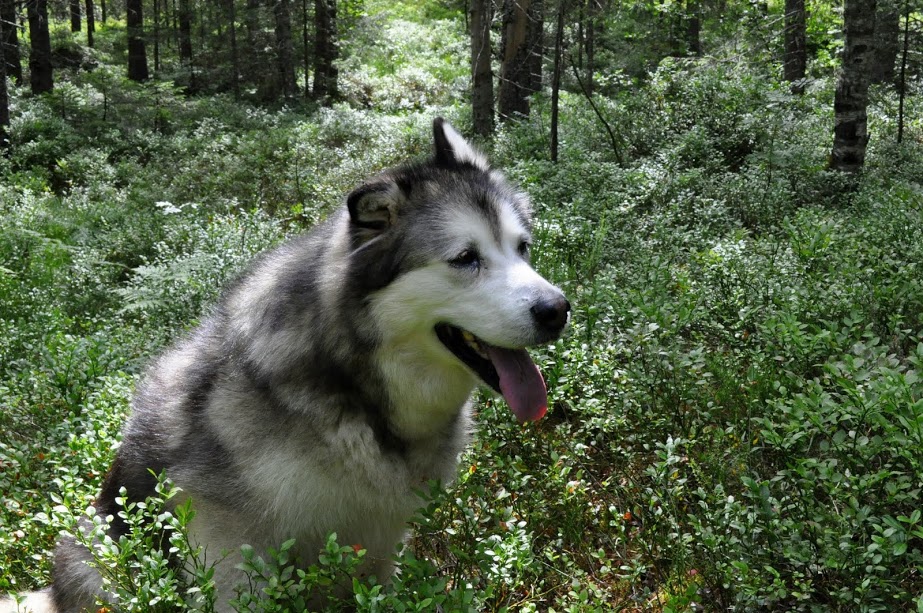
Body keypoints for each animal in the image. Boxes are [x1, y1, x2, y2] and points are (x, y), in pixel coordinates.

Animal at [3, 118, 569, 612]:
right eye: (465, 258)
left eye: (523, 248)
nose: (557, 310)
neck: (353, 391)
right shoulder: (230, 546)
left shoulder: (378, 542)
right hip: (100, 552)